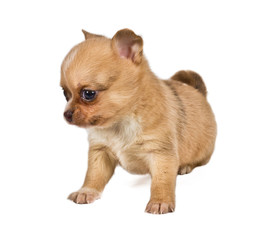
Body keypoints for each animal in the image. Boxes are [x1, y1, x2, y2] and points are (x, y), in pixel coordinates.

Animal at [60, 28, 216, 214]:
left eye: (88, 94)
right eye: (65, 94)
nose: (66, 114)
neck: (121, 122)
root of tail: (199, 93)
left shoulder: (161, 154)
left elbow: (162, 181)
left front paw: (160, 201)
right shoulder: (100, 152)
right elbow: (94, 175)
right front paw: (86, 191)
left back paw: (185, 166)